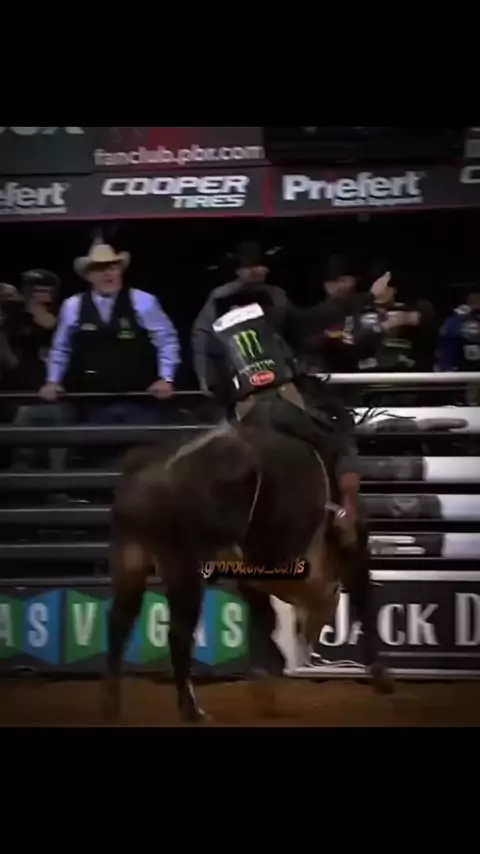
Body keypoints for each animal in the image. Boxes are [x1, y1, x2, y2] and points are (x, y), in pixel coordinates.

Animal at [103, 419, 393, 724]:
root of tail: (152, 472)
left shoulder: (252, 573)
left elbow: (265, 619)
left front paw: (266, 684)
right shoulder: (345, 553)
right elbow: (362, 598)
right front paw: (380, 674)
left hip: (129, 562)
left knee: (119, 621)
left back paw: (112, 704)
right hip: (185, 569)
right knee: (178, 633)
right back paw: (191, 709)